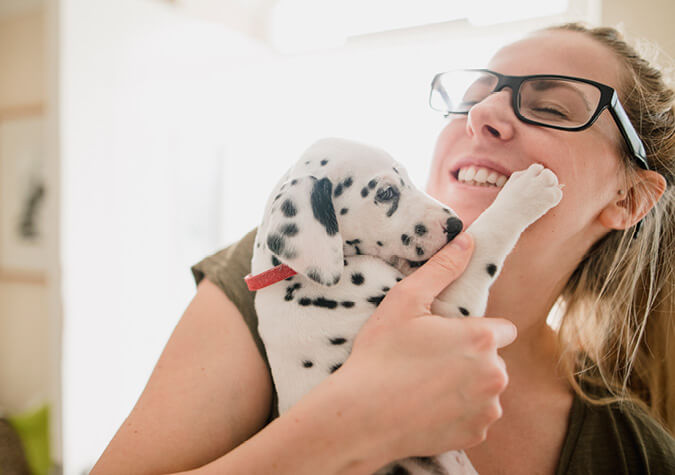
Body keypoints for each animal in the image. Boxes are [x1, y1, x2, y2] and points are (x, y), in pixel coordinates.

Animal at [248, 136, 564, 474]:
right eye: (386, 193)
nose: (456, 224)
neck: (289, 275)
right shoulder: (448, 313)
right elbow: (485, 239)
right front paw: (526, 192)